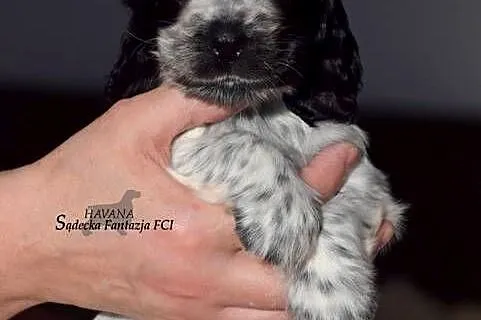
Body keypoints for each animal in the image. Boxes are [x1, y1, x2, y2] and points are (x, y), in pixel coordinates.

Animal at [95, 0, 404, 320]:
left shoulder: (355, 162)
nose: (226, 41)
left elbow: (343, 202)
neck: (254, 110)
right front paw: (283, 219)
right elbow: (242, 143)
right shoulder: (174, 148)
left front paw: (332, 296)